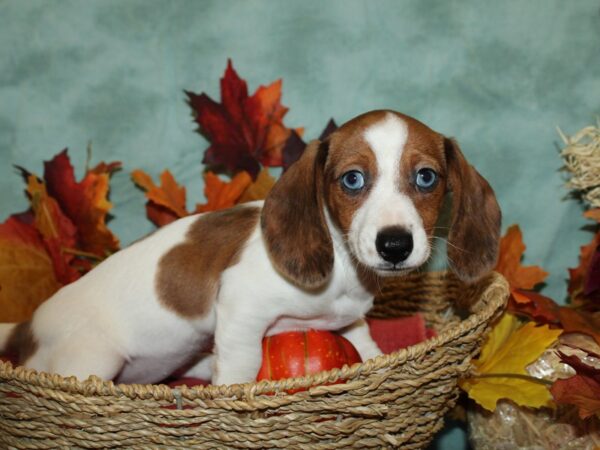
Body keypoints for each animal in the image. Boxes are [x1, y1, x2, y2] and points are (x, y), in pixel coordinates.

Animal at [0, 110, 502, 384]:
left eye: (426, 177)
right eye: (353, 180)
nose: (394, 244)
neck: (341, 270)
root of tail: (25, 327)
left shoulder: (352, 320)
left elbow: (365, 342)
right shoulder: (241, 311)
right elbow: (241, 365)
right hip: (94, 358)